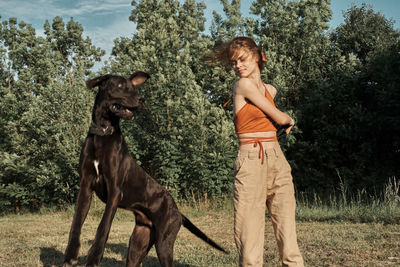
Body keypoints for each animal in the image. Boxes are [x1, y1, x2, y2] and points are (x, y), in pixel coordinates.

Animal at [61, 72, 225, 266]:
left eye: (134, 87)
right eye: (120, 86)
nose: (141, 99)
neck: (103, 133)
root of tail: (178, 212)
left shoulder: (114, 191)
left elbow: (103, 226)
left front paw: (94, 257)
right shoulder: (85, 187)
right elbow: (76, 223)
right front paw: (71, 254)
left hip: (164, 244)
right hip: (138, 243)